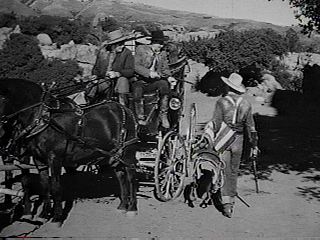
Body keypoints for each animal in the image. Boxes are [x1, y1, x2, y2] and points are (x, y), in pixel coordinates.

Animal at [0, 78, 140, 223]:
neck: (43, 119)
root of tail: (126, 109)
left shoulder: (54, 158)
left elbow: (55, 186)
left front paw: (57, 217)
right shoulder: (39, 159)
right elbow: (44, 185)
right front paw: (44, 214)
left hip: (127, 152)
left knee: (131, 177)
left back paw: (132, 208)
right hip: (115, 154)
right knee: (121, 176)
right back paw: (123, 205)